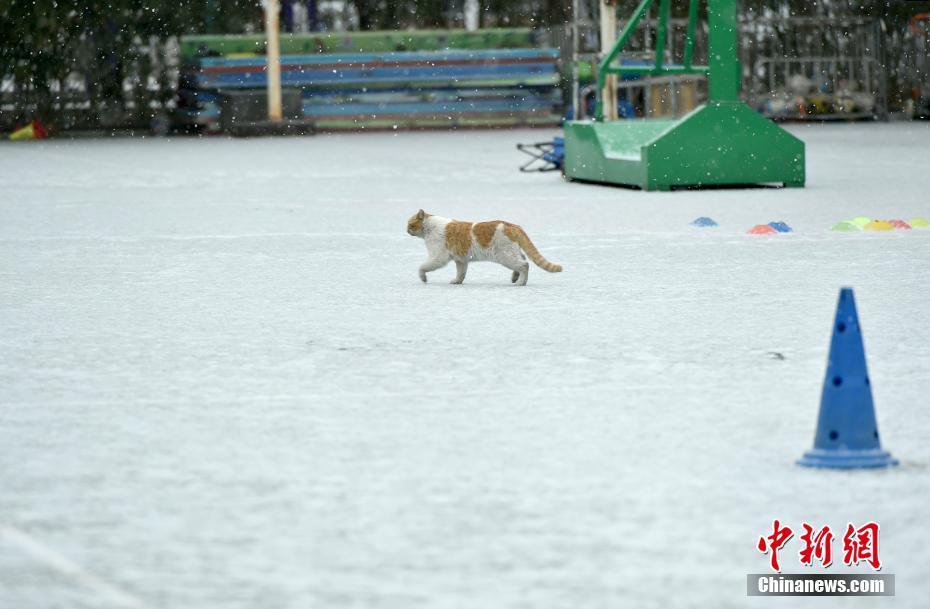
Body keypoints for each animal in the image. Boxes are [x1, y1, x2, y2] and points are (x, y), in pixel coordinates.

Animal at [404, 209, 560, 284]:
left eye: (410, 224)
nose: (406, 230)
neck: (429, 227)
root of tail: (513, 225)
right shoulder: (461, 260)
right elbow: (461, 273)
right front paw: (457, 281)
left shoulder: (438, 257)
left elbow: (422, 267)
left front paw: (423, 278)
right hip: (512, 252)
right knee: (523, 260)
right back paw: (515, 277)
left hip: (505, 256)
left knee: (525, 265)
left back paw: (521, 282)